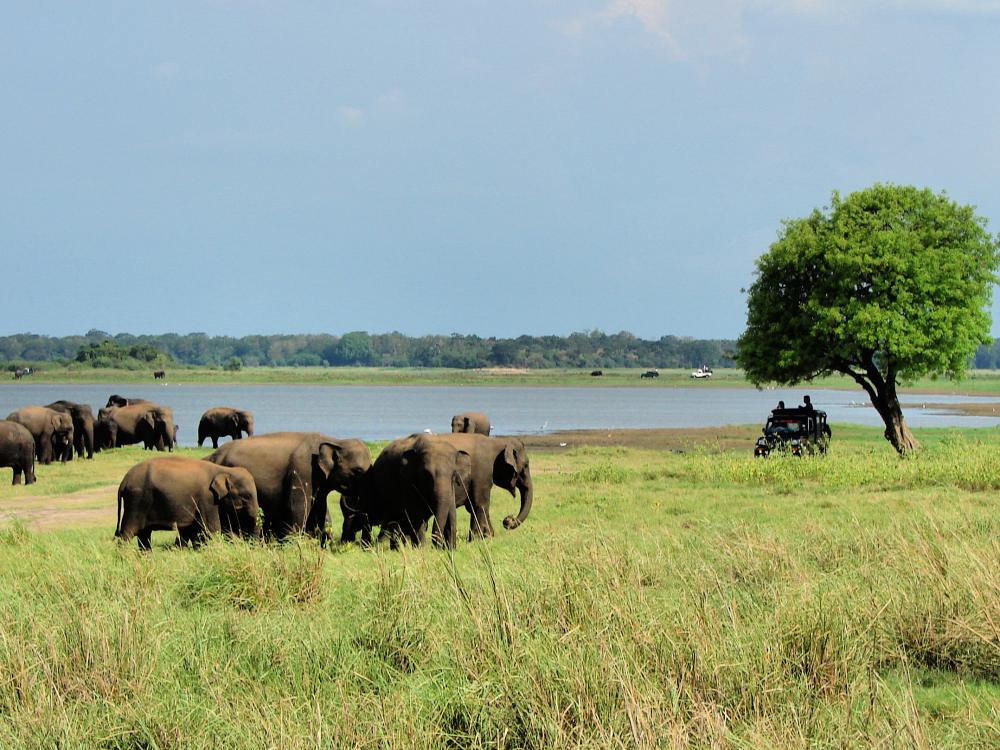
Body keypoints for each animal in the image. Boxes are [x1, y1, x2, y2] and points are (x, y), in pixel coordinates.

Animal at [115, 456, 260, 548]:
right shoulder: (207, 499)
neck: (224, 470)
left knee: (144, 534)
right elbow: (212, 529)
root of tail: (124, 481)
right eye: (246, 496)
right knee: (128, 533)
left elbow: (193, 530)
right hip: (136, 502)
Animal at [207, 432, 372, 544]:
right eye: (358, 471)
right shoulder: (303, 471)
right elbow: (298, 508)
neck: (335, 441)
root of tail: (211, 456)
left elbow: (319, 510)